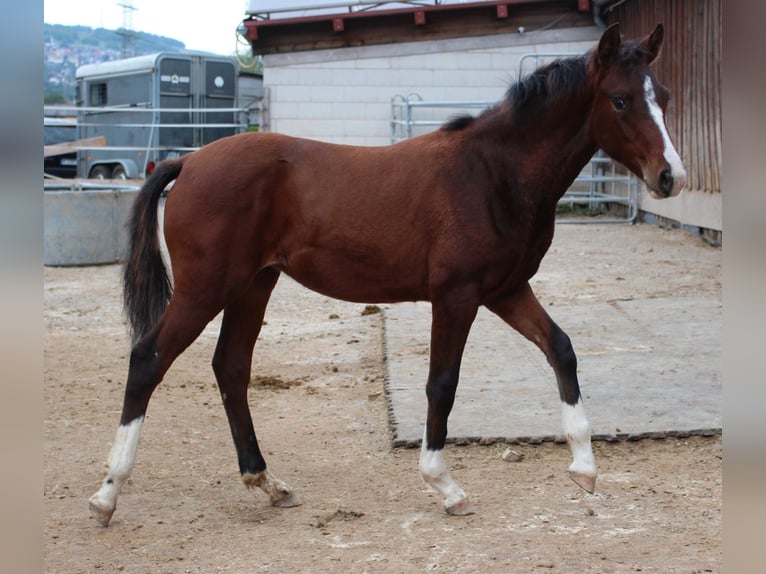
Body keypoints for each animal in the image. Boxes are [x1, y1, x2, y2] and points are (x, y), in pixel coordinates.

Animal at [90, 23, 688, 528]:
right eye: (620, 99)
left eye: (663, 95)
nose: (671, 177)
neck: (492, 174)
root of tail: (189, 162)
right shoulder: (456, 296)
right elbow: (442, 384)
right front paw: (445, 487)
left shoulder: (505, 290)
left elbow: (561, 349)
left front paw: (585, 469)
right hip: (206, 288)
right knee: (148, 360)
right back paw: (107, 494)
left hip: (254, 284)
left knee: (231, 368)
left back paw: (268, 483)